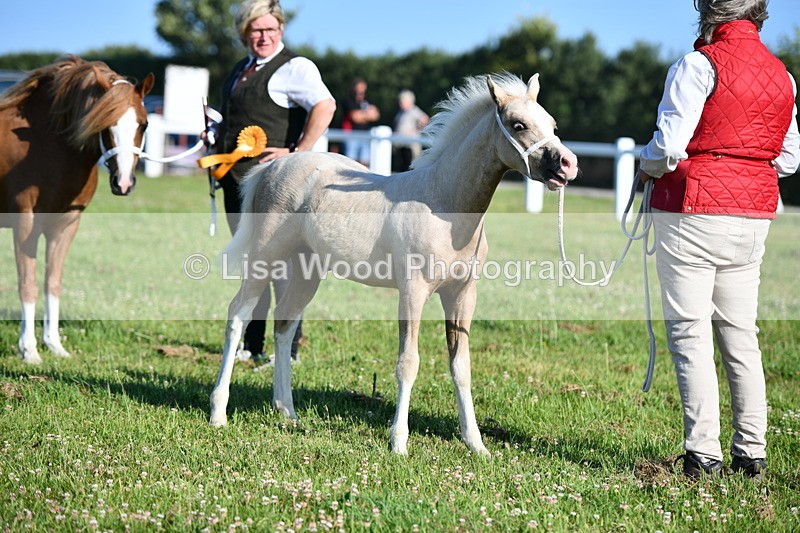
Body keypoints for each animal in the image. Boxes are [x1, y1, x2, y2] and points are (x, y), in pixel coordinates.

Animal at [0, 55, 154, 364]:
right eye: (105, 124)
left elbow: (53, 282)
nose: (123, 182)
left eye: (143, 125)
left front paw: (54, 344)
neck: (48, 144)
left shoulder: (66, 224)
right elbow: (27, 284)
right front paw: (29, 350)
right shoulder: (25, 223)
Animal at [209, 72, 579, 455]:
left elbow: (461, 366)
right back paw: (218, 413)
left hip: (305, 270)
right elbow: (408, 362)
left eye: (552, 123)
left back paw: (287, 411)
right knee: (238, 314)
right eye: (518, 124)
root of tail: (272, 165)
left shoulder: (462, 294)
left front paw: (476, 444)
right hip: (264, 258)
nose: (568, 165)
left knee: (284, 324)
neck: (444, 205)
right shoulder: (413, 292)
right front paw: (399, 442)